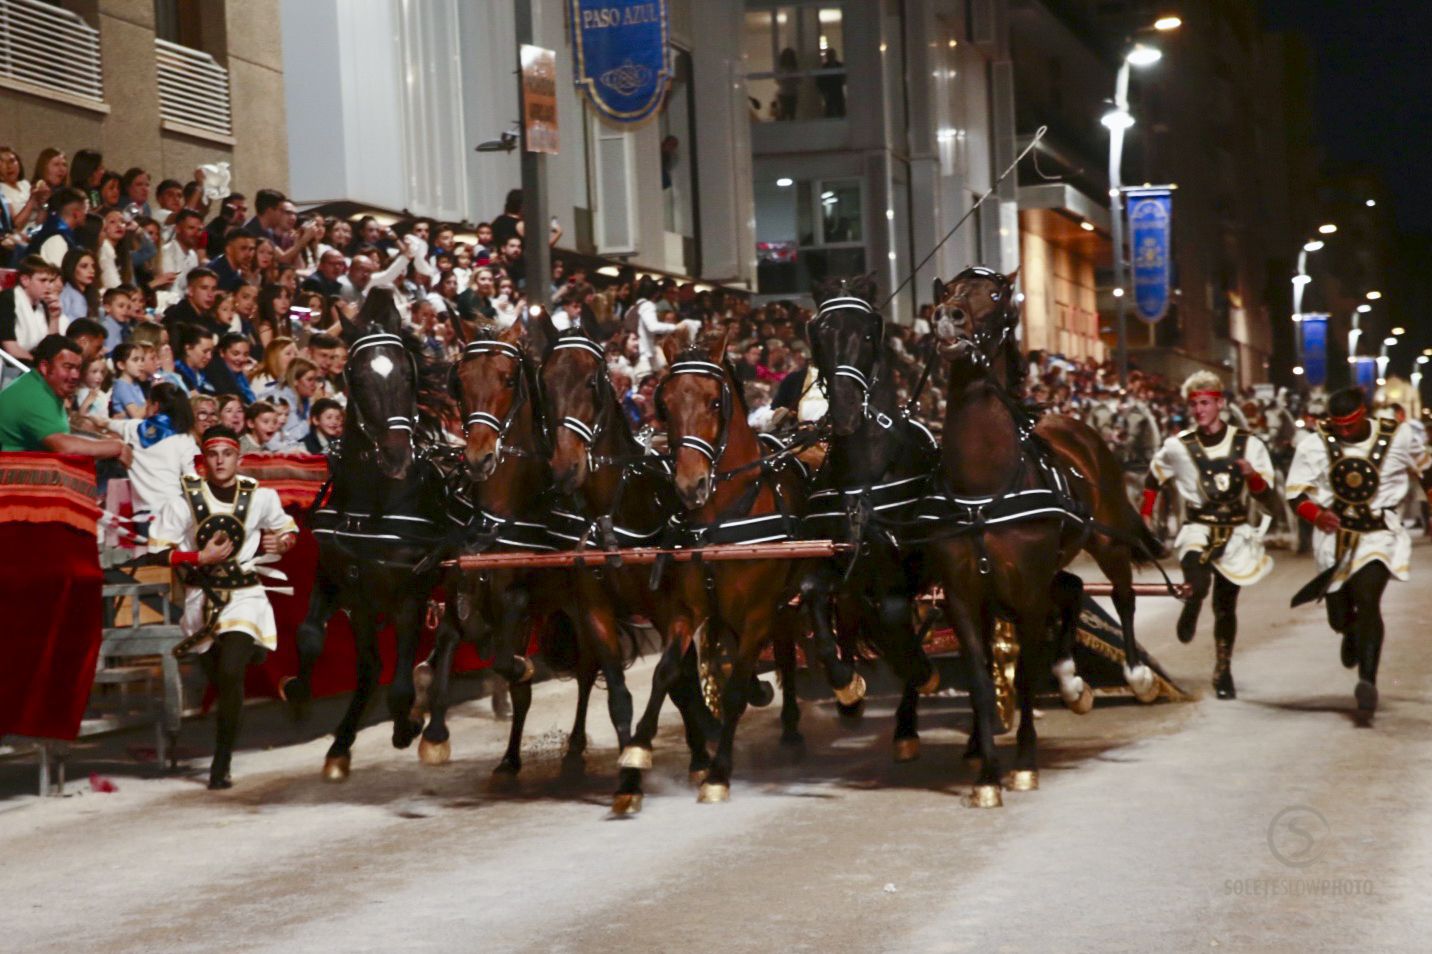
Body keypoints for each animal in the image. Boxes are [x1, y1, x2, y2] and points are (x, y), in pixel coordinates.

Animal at [280, 286, 452, 779]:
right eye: (355, 374)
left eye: (407, 373)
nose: (396, 456)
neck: (371, 509)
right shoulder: (340, 580)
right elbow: (313, 637)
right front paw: (304, 700)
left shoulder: (411, 593)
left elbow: (397, 684)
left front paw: (407, 723)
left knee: (451, 639)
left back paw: (431, 724)